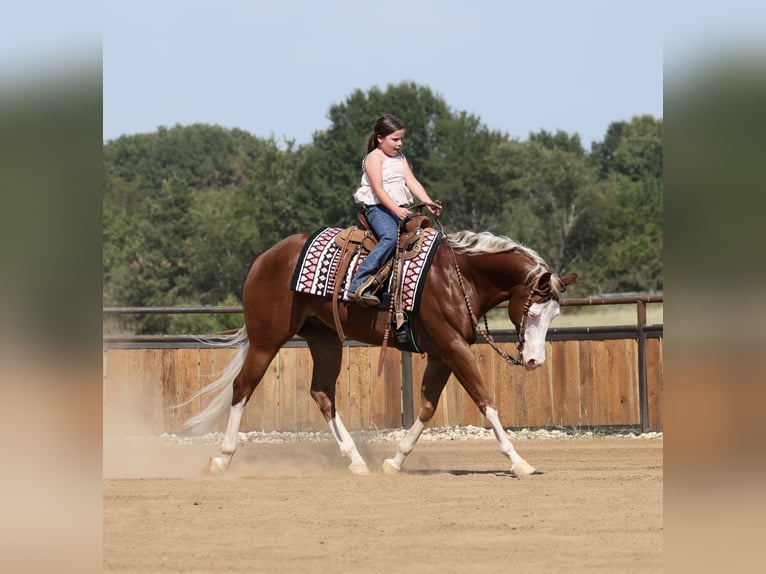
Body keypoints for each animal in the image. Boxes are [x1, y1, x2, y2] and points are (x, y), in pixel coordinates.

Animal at [179, 227, 576, 476]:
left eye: (555, 314)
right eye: (533, 311)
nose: (535, 360)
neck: (458, 275)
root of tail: (264, 259)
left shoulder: (442, 353)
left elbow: (427, 406)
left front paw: (395, 461)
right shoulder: (454, 347)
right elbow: (485, 401)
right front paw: (519, 461)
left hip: (325, 340)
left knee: (322, 394)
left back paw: (355, 460)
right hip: (267, 340)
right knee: (242, 388)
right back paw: (223, 459)